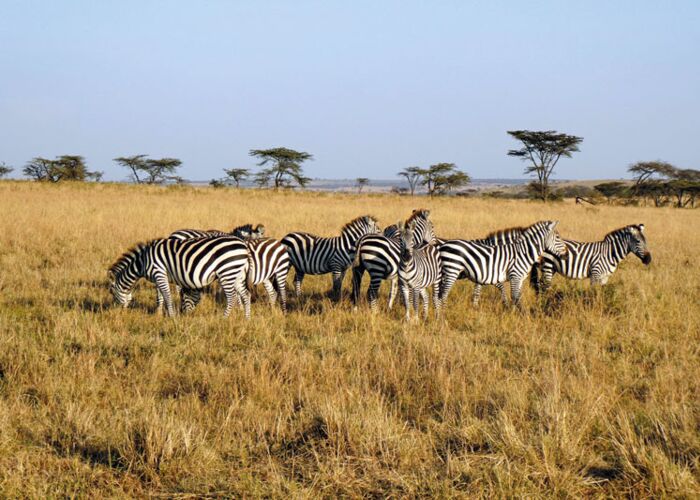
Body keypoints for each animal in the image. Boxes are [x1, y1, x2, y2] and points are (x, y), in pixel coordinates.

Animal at [108, 236, 251, 318]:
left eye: (112, 293)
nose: (117, 313)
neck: (142, 262)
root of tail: (244, 245)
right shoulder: (159, 277)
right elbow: (160, 297)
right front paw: (158, 314)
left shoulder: (159, 272)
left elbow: (167, 296)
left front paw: (171, 317)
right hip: (237, 274)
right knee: (246, 295)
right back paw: (247, 319)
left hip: (227, 272)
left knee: (232, 297)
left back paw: (224, 318)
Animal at [439, 221, 568, 308]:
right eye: (557, 237)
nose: (566, 254)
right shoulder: (493, 273)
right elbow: (507, 292)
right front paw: (511, 309)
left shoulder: (483, 274)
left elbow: (478, 292)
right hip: (451, 270)